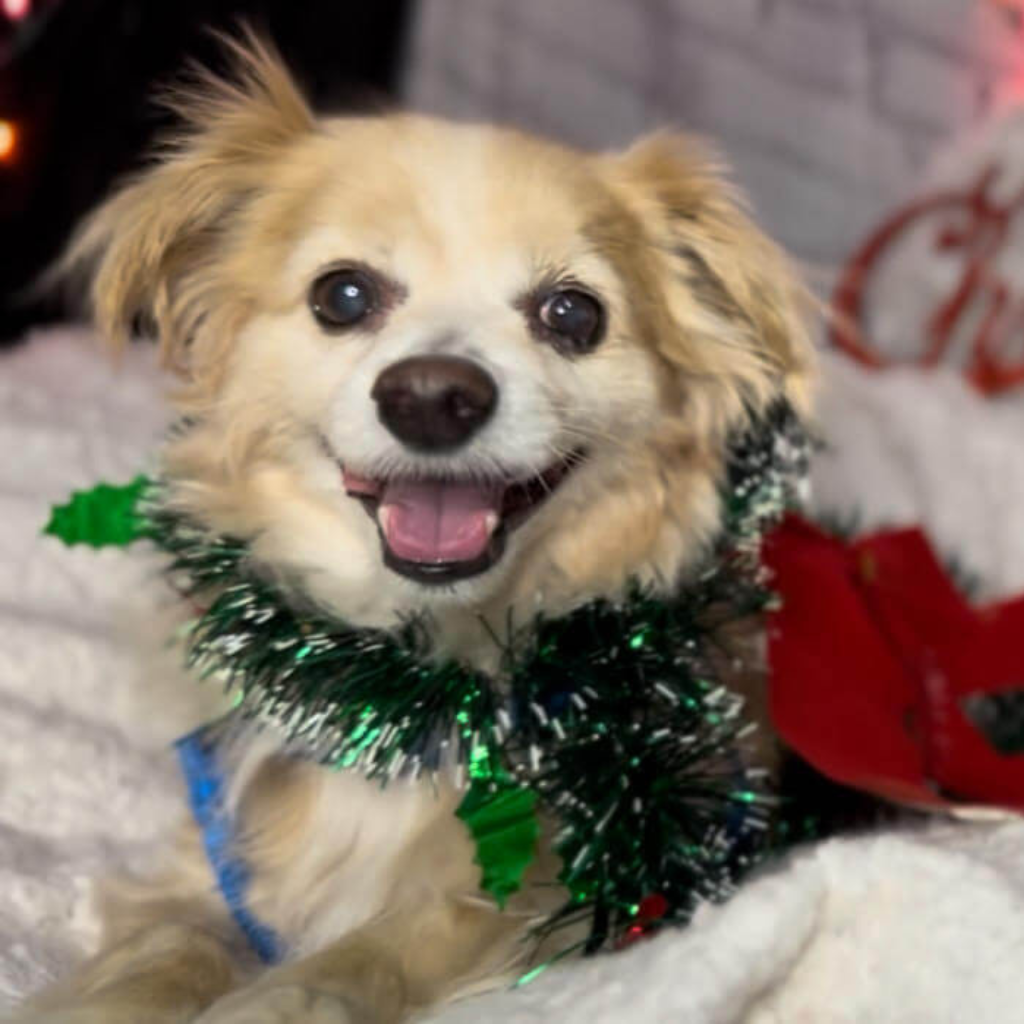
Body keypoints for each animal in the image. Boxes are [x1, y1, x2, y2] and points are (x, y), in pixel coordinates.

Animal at [16, 32, 811, 1024]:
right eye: (344, 296)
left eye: (572, 313)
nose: (433, 395)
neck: (410, 685)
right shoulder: (208, 855)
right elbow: (171, 941)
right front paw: (112, 998)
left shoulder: (560, 890)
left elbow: (395, 940)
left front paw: (287, 999)